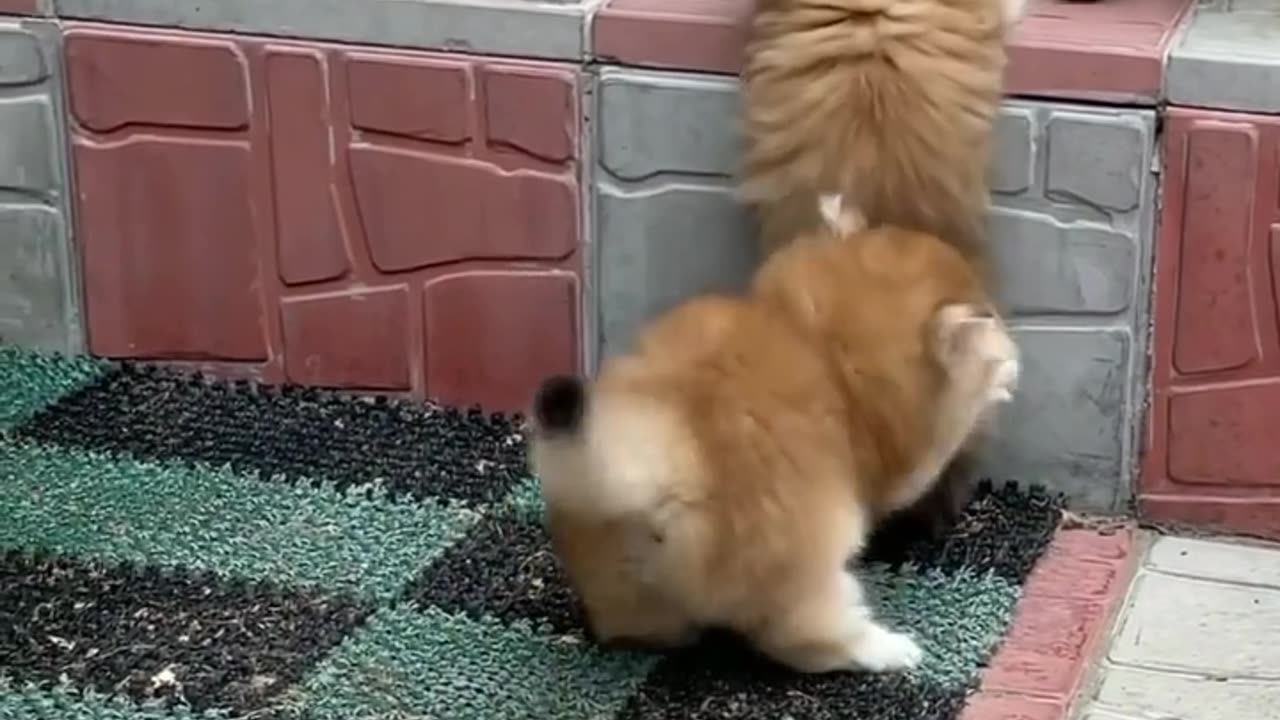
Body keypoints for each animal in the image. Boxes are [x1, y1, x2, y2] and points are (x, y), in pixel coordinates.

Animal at [524, 193, 1013, 671]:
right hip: (810, 572)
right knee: (804, 639)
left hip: (616, 577)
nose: (1005, 337)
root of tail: (675, 445)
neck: (819, 343)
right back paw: (888, 649)